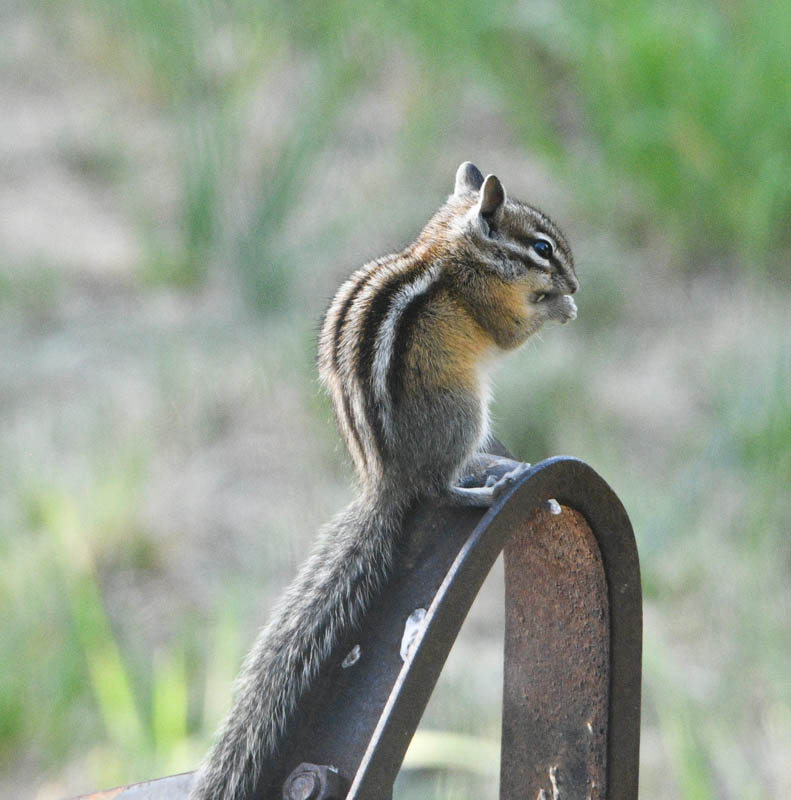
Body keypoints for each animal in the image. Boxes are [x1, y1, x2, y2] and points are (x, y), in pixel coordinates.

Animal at [189, 162, 578, 800]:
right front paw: (557, 307)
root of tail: (386, 479)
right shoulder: (487, 305)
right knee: (438, 488)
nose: (574, 280)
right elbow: (509, 333)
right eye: (542, 248)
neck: (453, 249)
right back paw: (481, 488)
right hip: (463, 411)